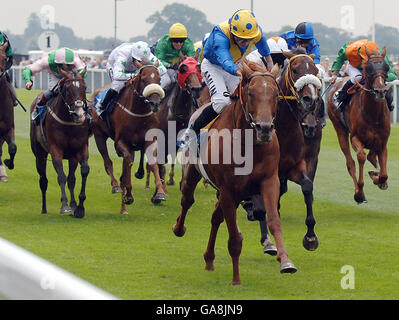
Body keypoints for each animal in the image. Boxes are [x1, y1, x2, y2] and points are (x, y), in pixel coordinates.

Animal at [30, 67, 91, 218]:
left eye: (85, 87)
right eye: (67, 89)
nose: (79, 114)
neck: (69, 122)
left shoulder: (80, 148)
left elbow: (82, 172)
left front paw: (79, 207)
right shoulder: (55, 149)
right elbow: (61, 176)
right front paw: (65, 206)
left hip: (72, 157)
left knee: (71, 179)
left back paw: (74, 204)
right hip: (39, 154)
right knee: (43, 180)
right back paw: (44, 208)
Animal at [90, 63, 166, 214]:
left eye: (159, 79)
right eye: (143, 79)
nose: (155, 103)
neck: (138, 113)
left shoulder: (150, 141)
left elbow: (152, 162)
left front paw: (160, 193)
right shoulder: (121, 143)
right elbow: (128, 162)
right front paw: (129, 195)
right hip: (99, 135)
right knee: (108, 162)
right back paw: (116, 187)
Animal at [172, 60, 296, 284]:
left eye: (276, 94)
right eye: (251, 93)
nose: (265, 128)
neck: (249, 145)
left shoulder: (268, 181)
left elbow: (274, 221)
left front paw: (286, 261)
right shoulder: (228, 190)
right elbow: (234, 238)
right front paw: (236, 278)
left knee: (215, 217)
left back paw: (209, 258)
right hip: (193, 174)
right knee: (187, 200)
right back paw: (179, 228)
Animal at [330, 47, 392, 202]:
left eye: (386, 67)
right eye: (369, 68)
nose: (380, 91)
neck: (373, 114)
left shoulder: (382, 141)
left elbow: (384, 173)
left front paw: (379, 179)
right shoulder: (355, 138)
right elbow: (361, 157)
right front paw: (360, 191)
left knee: (372, 157)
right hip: (340, 129)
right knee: (350, 162)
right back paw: (359, 192)